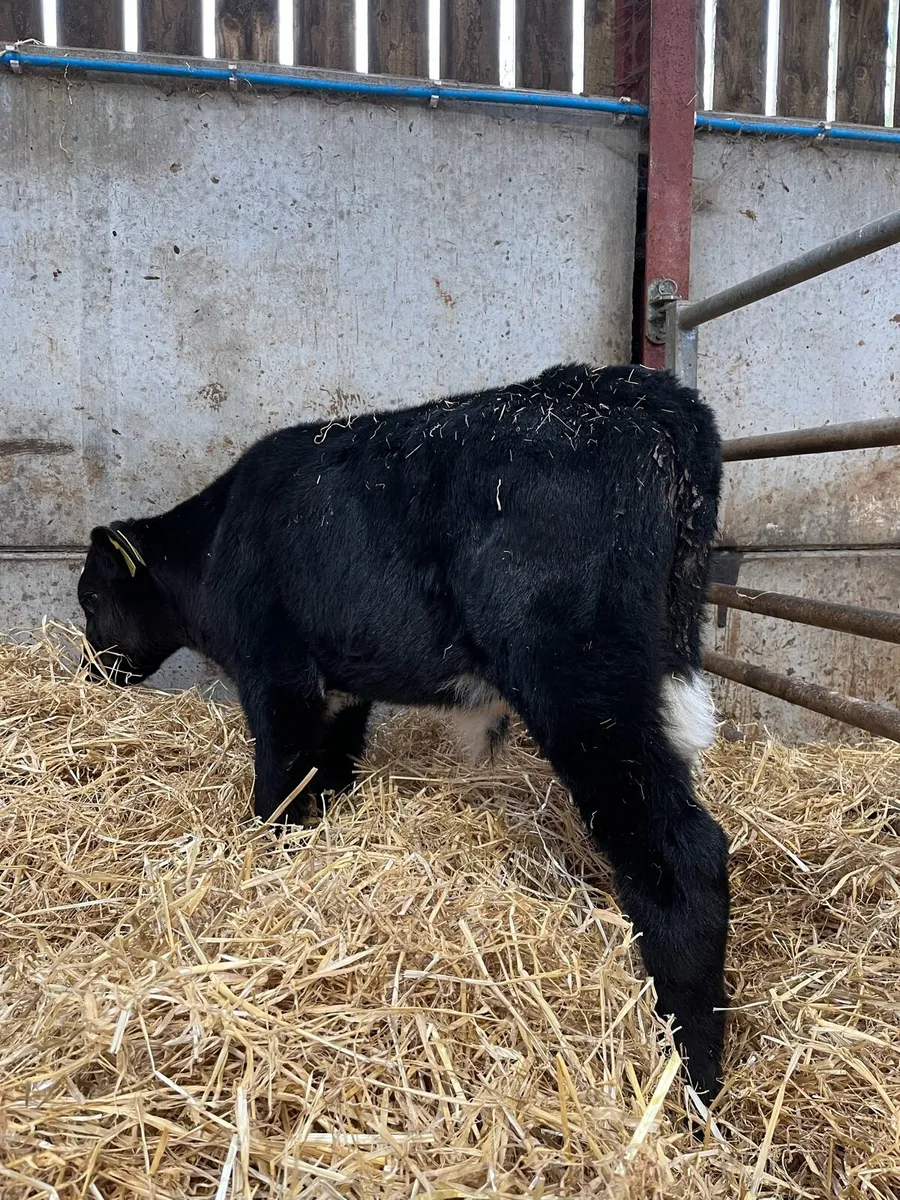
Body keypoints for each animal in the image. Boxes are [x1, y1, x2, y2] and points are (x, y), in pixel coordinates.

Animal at [77, 363, 728, 1095]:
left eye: (91, 598)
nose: (92, 670)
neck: (217, 543)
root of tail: (647, 396)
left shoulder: (277, 673)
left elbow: (278, 781)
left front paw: (268, 857)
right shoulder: (342, 687)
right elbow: (327, 770)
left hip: (582, 683)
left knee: (683, 852)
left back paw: (691, 1070)